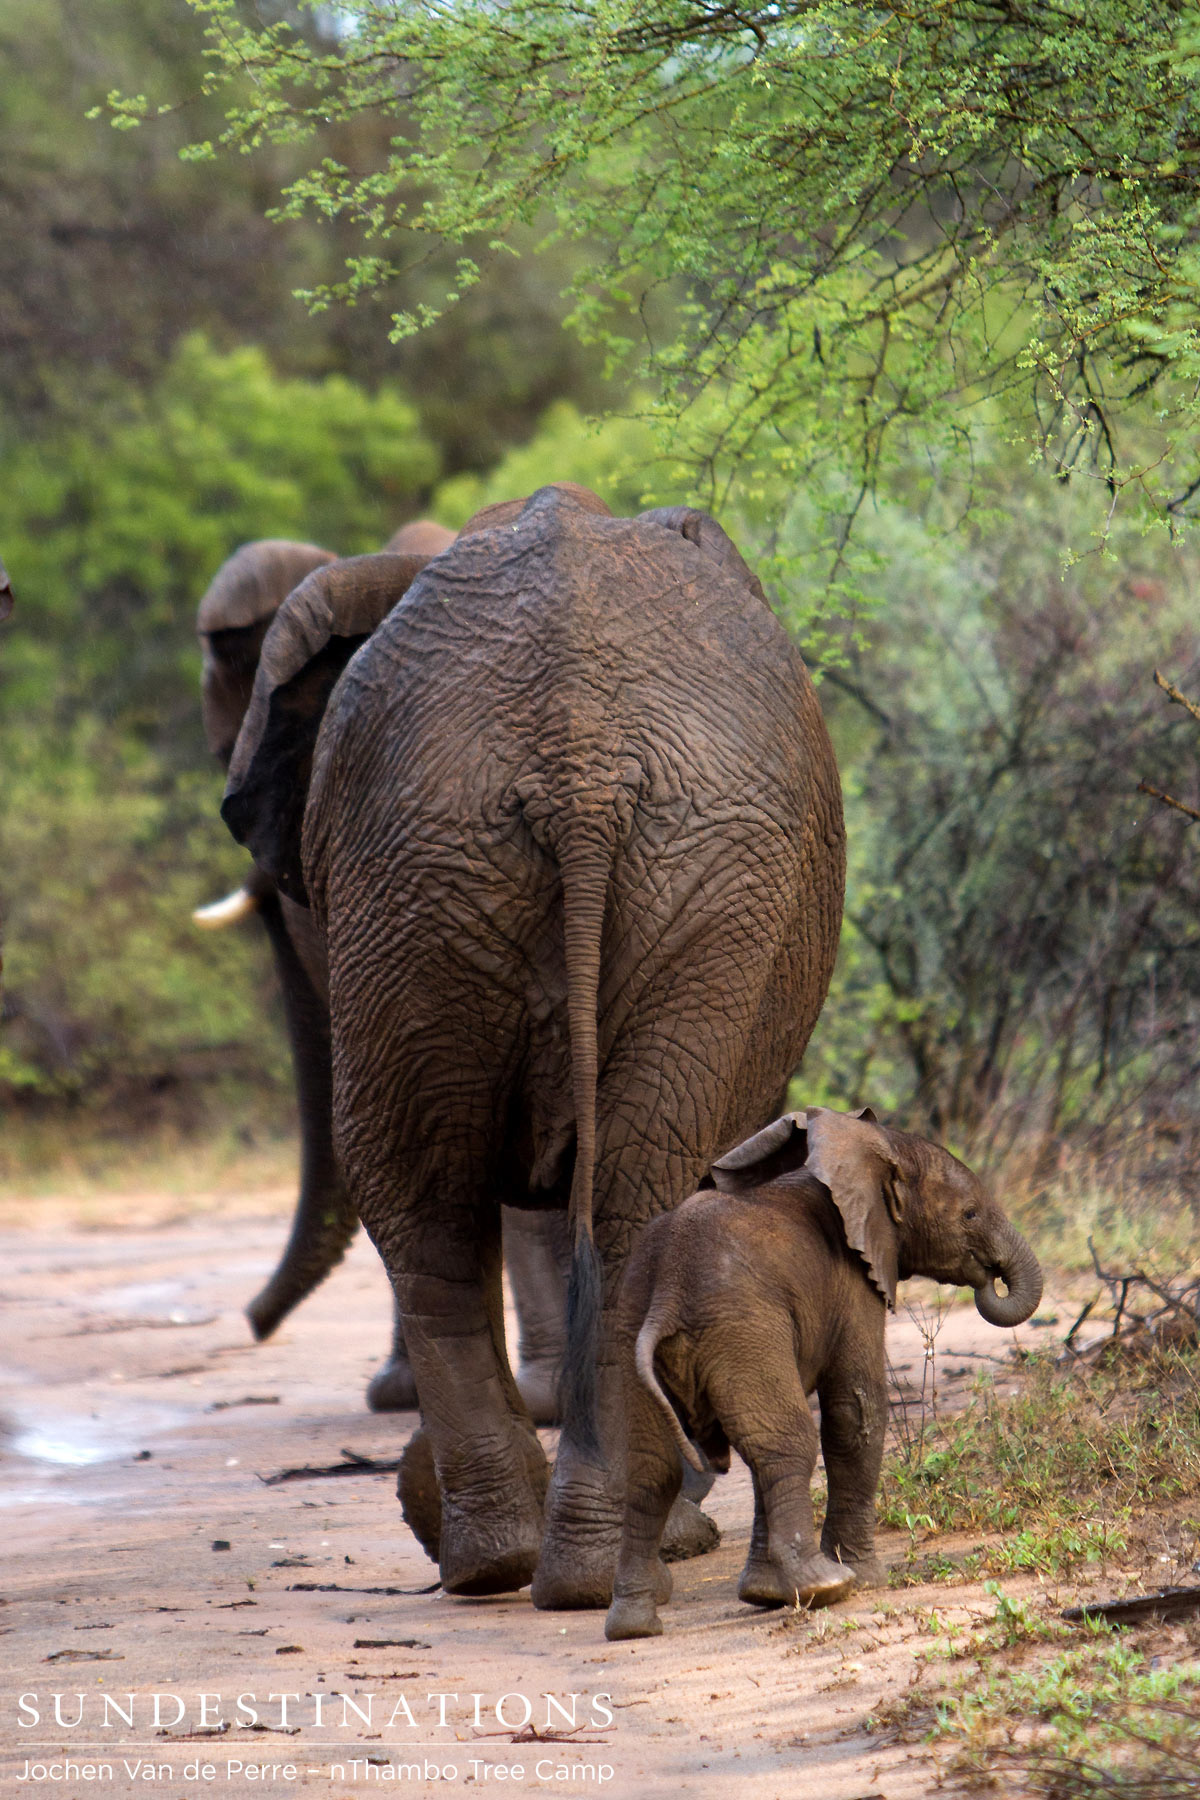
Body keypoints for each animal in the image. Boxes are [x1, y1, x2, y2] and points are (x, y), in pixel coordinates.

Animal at [604, 1104, 1044, 1640]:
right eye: (970, 1215)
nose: (989, 1278)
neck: (876, 1150)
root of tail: (668, 1291)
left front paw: (765, 1595)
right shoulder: (854, 1283)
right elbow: (856, 1412)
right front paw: (866, 1579)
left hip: (632, 1325)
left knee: (655, 1466)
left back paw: (633, 1626)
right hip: (740, 1323)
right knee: (788, 1439)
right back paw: (825, 1586)